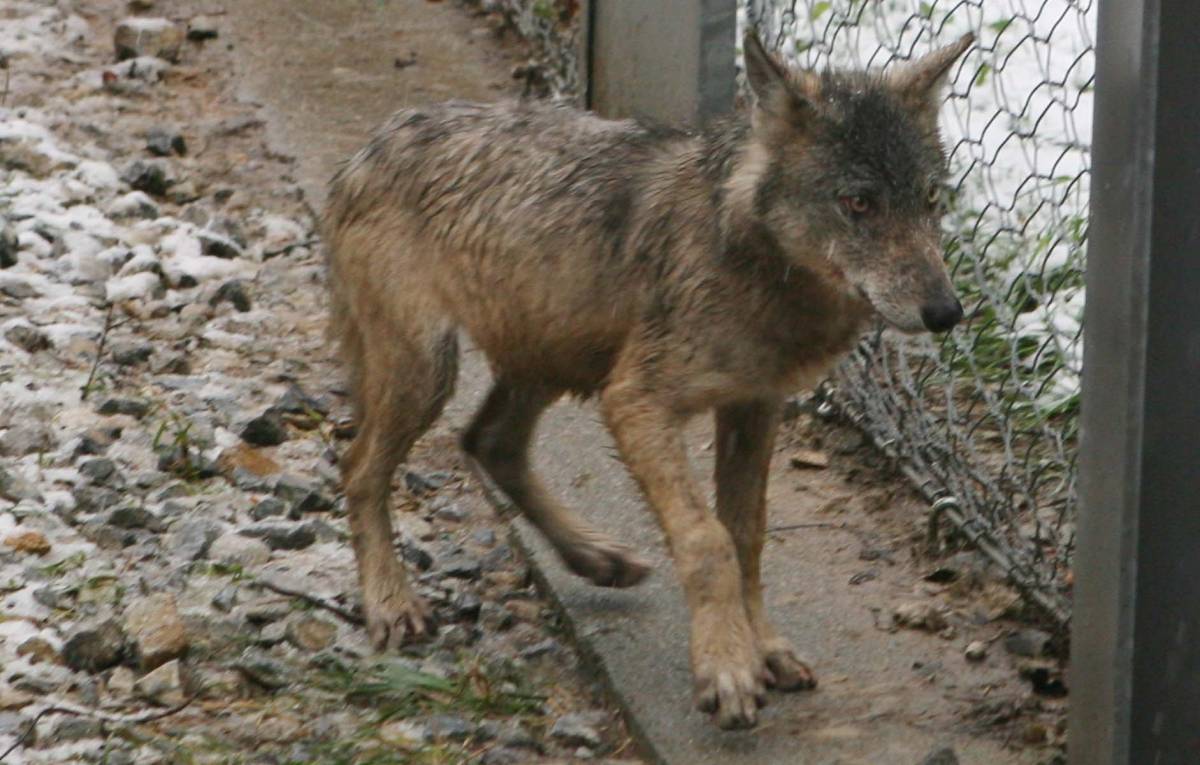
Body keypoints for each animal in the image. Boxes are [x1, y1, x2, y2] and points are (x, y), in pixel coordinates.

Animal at [321, 31, 974, 729]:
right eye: (858, 203)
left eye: (931, 200)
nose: (946, 312)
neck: (756, 269)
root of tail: (366, 148)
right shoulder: (637, 402)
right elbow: (708, 541)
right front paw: (727, 668)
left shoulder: (754, 406)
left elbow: (747, 538)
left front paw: (763, 648)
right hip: (434, 370)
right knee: (359, 469)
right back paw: (390, 604)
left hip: (556, 358)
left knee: (488, 443)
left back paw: (596, 559)